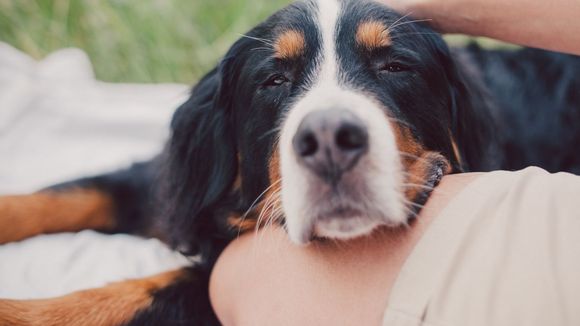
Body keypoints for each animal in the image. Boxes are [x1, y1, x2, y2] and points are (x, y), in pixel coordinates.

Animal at [1, 0, 580, 324]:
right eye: (274, 79)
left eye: (395, 66)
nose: (329, 139)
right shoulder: (165, 186)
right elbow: (61, 195)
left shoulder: (221, 276)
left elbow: (122, 299)